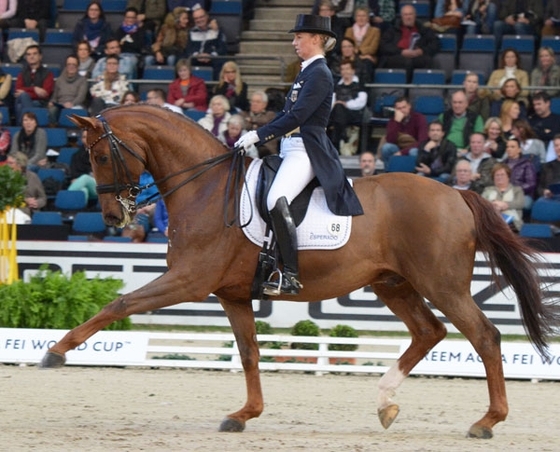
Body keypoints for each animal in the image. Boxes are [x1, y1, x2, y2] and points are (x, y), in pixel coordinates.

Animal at [40, 105, 560, 438]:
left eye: (99, 155)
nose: (113, 217)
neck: (204, 187)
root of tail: (457, 193)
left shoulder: (189, 281)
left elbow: (119, 303)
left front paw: (56, 352)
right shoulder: (231, 294)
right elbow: (249, 353)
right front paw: (244, 414)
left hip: (442, 283)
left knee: (484, 335)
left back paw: (486, 422)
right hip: (393, 284)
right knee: (429, 332)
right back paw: (386, 402)